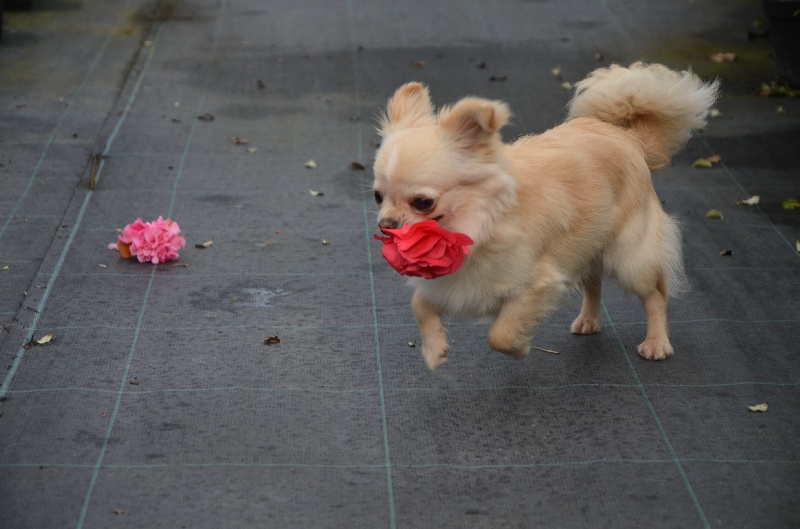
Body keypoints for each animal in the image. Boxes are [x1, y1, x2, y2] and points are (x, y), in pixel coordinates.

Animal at [374, 63, 720, 368]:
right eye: (378, 196)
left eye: (422, 202)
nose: (385, 224)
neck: (479, 223)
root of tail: (625, 137)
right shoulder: (458, 283)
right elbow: (419, 304)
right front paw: (435, 349)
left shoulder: (537, 285)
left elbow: (500, 334)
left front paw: (520, 349)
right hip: (586, 246)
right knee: (594, 283)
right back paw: (589, 320)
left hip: (631, 257)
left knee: (655, 296)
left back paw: (657, 343)